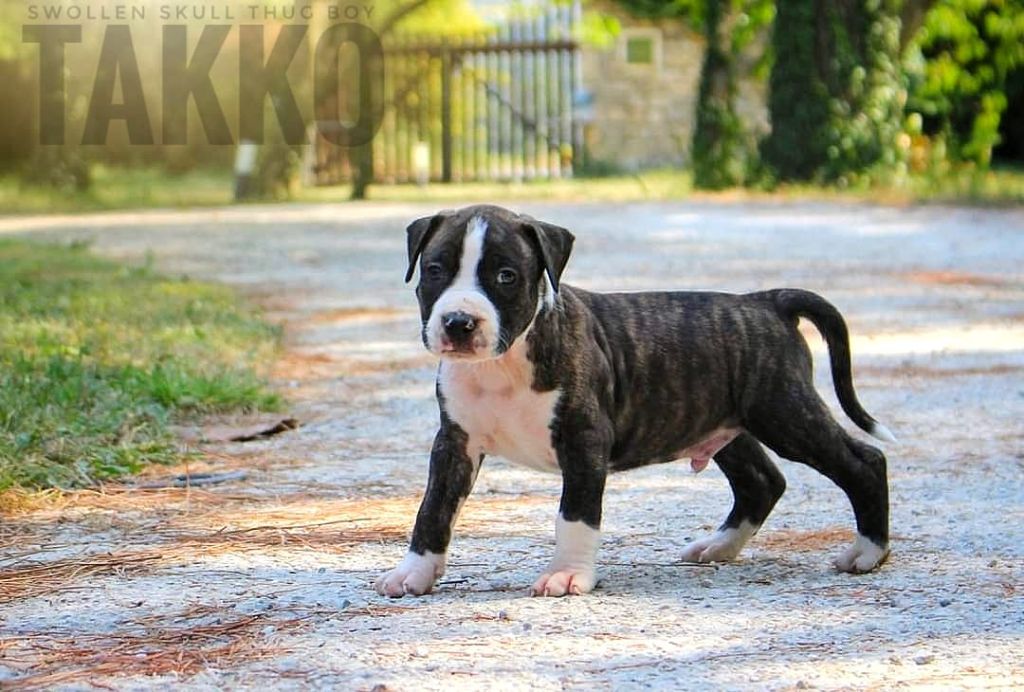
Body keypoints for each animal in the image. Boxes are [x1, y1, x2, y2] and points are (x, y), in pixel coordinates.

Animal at [375, 204, 894, 598]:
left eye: (506, 276)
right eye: (435, 271)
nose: (459, 322)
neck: (503, 363)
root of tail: (766, 301)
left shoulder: (584, 440)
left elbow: (575, 515)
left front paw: (568, 574)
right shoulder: (454, 444)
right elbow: (433, 510)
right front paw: (413, 573)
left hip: (785, 412)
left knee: (864, 460)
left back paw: (868, 551)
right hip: (723, 423)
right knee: (763, 481)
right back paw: (718, 547)